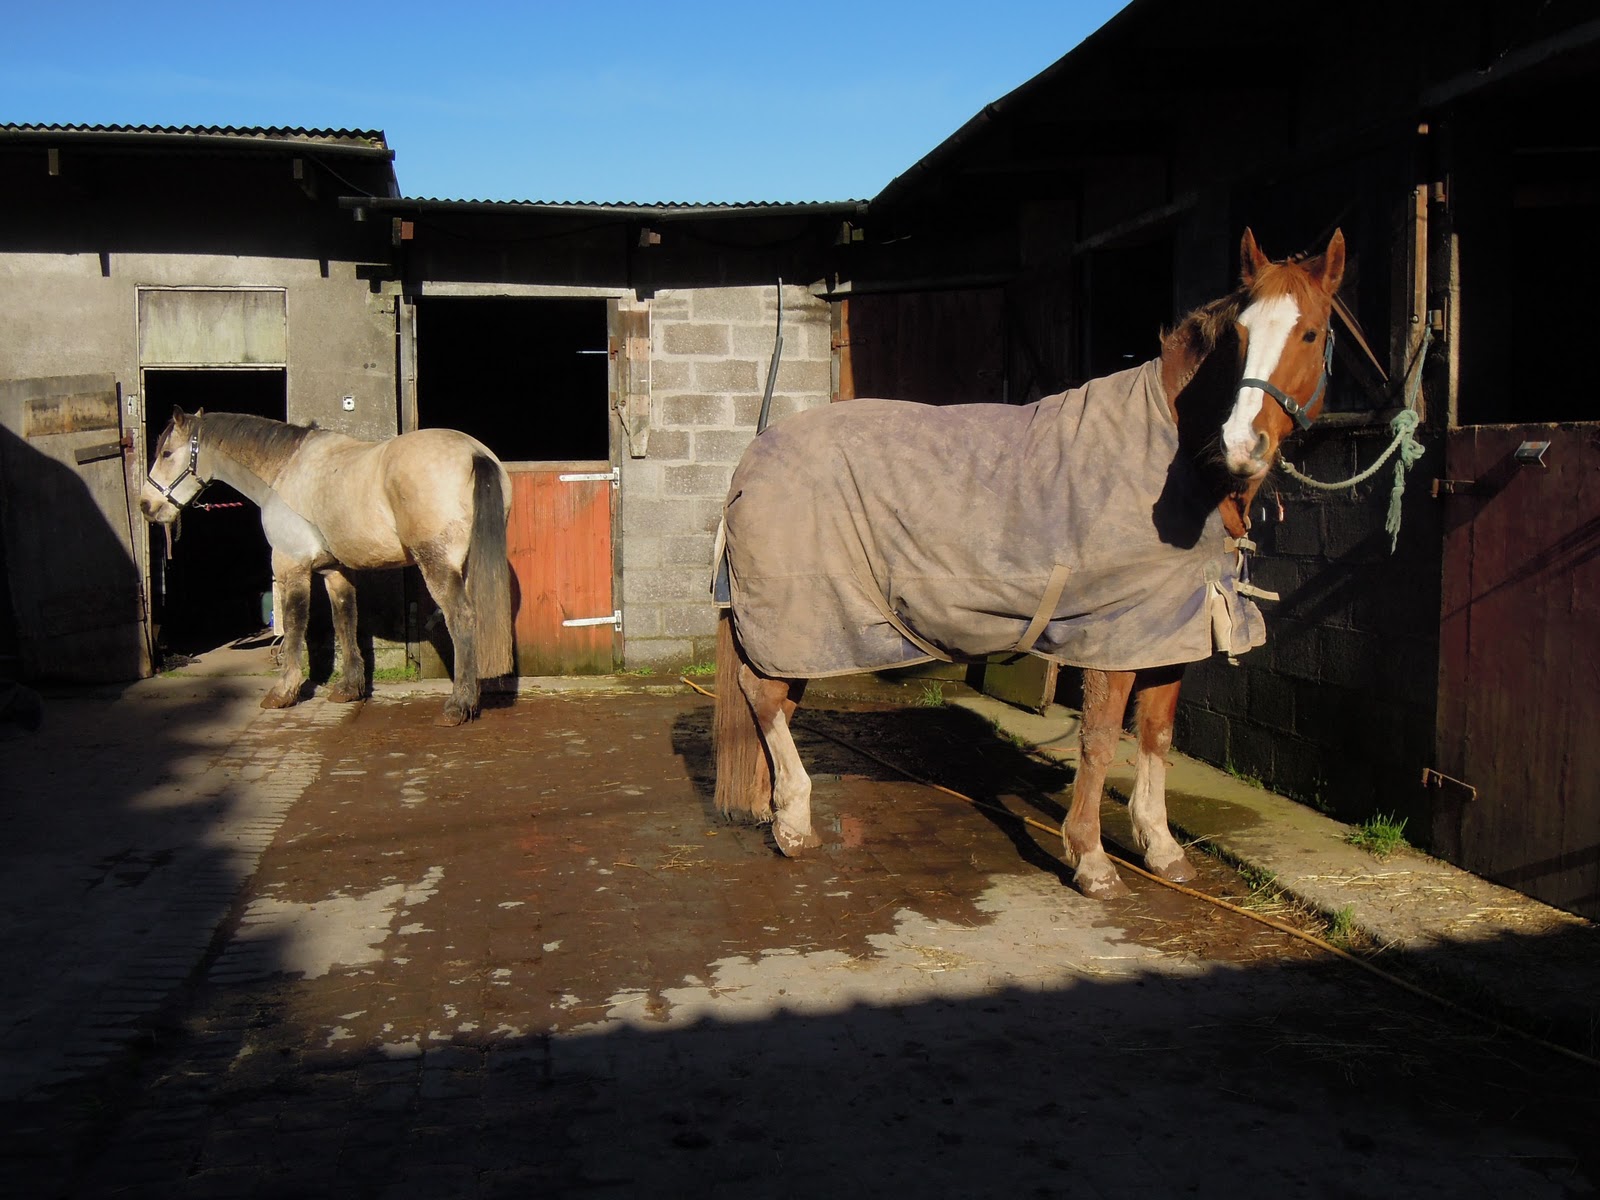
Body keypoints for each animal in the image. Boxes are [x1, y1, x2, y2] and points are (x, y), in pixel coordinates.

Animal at [140, 408, 514, 726]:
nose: (147, 505)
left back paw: (458, 706)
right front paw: (349, 688)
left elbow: (294, 625)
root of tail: (474, 454)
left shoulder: (291, 565)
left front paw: (283, 692)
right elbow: (345, 621)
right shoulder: (336, 571)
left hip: (437, 564)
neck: (283, 472)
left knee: (460, 618)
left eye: (167, 453)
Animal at [713, 228, 1346, 898]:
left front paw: (1162, 849)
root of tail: (750, 460)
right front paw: (1091, 860)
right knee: (763, 696)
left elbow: (1156, 736)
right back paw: (793, 825)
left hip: (803, 631)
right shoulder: (1111, 635)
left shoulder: (1170, 628)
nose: (1241, 445)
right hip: (799, 615)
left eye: (1310, 334)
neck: (1174, 456)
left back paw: (783, 815)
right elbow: (1100, 741)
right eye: (1240, 338)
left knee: (776, 701)